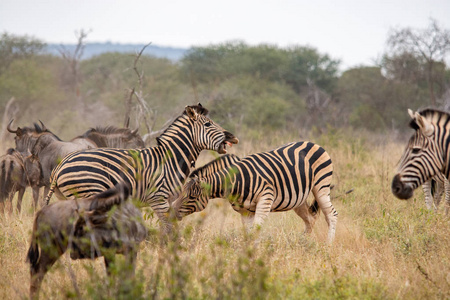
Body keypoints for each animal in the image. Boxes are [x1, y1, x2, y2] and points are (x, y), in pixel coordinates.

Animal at [44, 103, 239, 234]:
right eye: (208, 124)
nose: (233, 138)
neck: (171, 159)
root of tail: (61, 164)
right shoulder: (159, 199)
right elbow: (168, 230)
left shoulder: (169, 200)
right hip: (89, 196)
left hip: (66, 199)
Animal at [172, 141, 338, 244]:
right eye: (180, 194)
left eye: (192, 196)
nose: (171, 212)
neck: (236, 180)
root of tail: (312, 143)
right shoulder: (245, 211)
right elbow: (248, 233)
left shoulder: (265, 199)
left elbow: (256, 231)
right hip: (299, 198)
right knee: (310, 218)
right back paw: (302, 242)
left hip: (321, 187)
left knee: (331, 214)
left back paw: (327, 245)